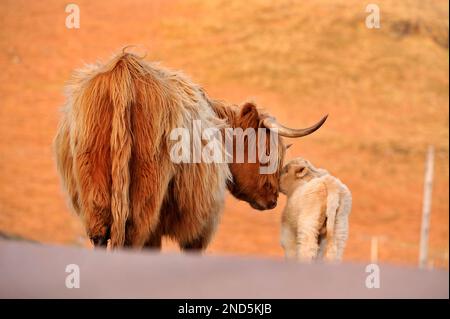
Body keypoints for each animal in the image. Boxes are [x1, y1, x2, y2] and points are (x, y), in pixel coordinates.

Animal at [53, 50, 326, 250]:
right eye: (267, 152)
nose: (273, 199)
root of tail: (124, 71)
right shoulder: (198, 223)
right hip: (144, 200)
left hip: (96, 197)